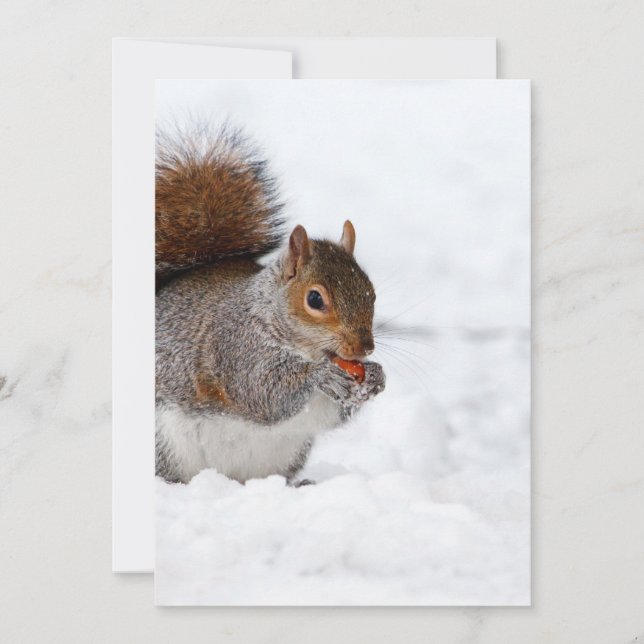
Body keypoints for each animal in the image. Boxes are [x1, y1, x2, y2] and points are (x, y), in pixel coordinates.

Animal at [155, 126, 386, 485]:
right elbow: (262, 392)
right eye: (315, 299)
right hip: (164, 444)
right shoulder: (236, 347)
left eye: (371, 292)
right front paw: (320, 376)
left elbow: (330, 414)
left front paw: (376, 377)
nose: (365, 348)